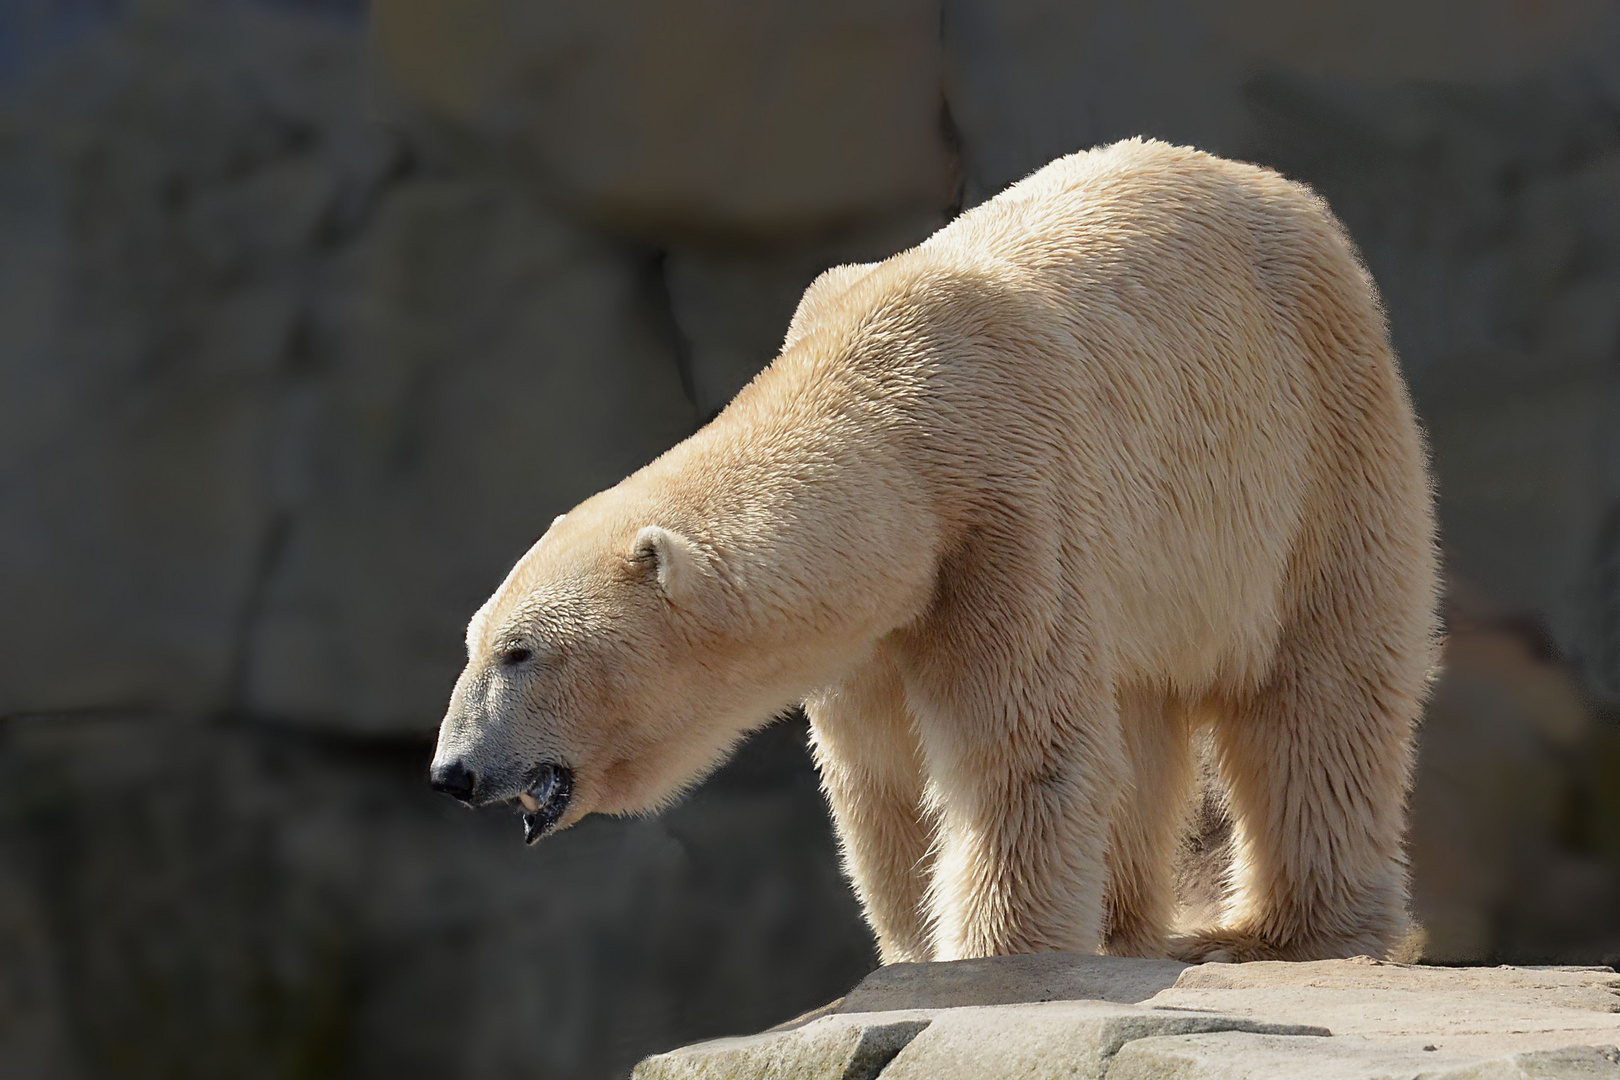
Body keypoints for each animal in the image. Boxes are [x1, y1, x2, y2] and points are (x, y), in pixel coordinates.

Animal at [434, 141, 1445, 965]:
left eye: (522, 652)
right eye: (475, 644)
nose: (454, 772)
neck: (891, 399)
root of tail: (1291, 197)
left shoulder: (1012, 509)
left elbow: (1021, 751)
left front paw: (998, 955)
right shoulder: (878, 619)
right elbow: (884, 778)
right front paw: (921, 949)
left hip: (1318, 437)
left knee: (1320, 684)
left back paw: (1290, 930)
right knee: (1141, 709)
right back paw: (1124, 924)